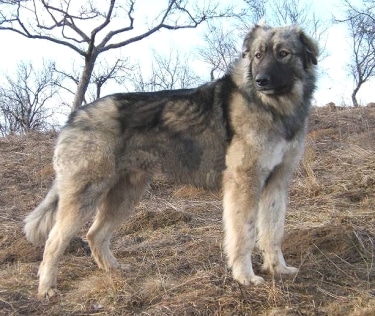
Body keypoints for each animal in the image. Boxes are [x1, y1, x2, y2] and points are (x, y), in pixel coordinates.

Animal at [23, 24, 318, 298]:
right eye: (258, 55)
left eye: (283, 54)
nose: (261, 81)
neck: (273, 108)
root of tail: (74, 117)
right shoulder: (244, 183)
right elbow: (243, 234)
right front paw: (245, 276)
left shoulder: (276, 183)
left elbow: (273, 232)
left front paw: (278, 269)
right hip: (86, 195)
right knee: (54, 241)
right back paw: (46, 288)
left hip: (125, 195)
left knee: (94, 234)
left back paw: (114, 270)